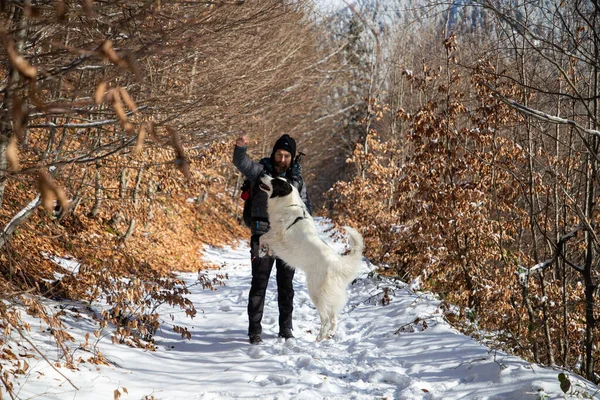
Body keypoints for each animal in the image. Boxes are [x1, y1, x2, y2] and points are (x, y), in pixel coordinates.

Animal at [256, 176, 364, 340]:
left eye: (274, 181)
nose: (262, 174)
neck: (287, 203)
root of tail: (337, 263)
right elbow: (264, 239)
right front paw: (265, 251)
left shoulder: (277, 234)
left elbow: (262, 237)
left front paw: (262, 250)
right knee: (334, 317)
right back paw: (329, 335)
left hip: (316, 292)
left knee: (325, 318)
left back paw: (319, 337)